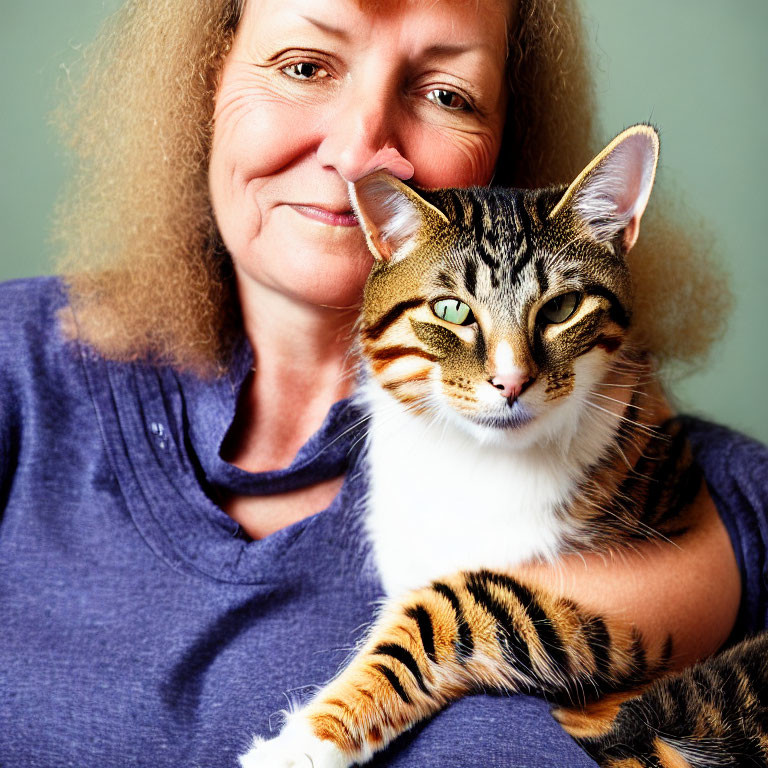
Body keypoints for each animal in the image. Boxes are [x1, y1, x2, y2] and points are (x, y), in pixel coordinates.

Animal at [240, 126, 768, 768]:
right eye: (451, 310)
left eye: (562, 308)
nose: (511, 382)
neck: (475, 458)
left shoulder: (648, 595)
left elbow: (456, 605)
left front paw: (306, 742)